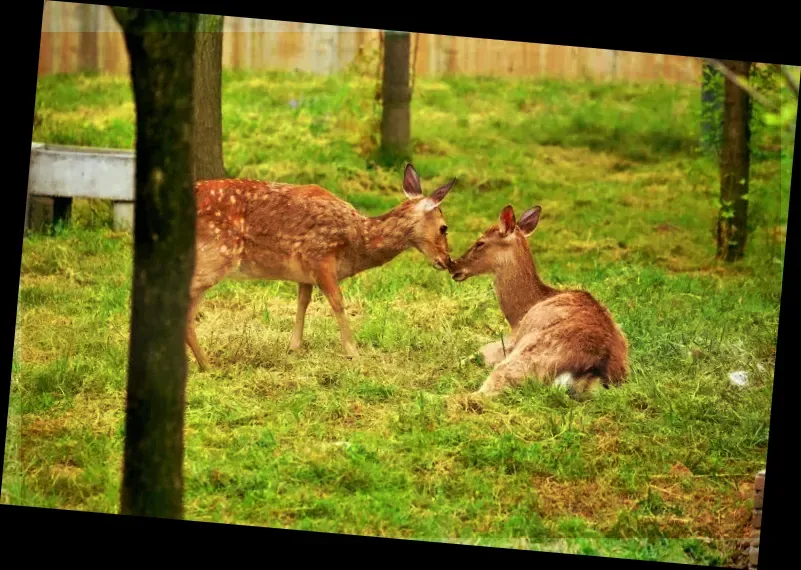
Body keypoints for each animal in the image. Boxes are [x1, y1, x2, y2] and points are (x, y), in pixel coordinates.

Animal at [184, 163, 454, 368]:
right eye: (444, 228)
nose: (447, 261)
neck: (358, 239)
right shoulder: (320, 256)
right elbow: (338, 303)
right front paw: (354, 353)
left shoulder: (304, 272)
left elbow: (302, 302)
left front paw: (293, 348)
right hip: (214, 258)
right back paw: (207, 366)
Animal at [450, 203, 624, 394]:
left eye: (480, 242)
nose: (453, 266)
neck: (518, 315)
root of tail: (594, 371)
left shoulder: (509, 342)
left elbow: (478, 352)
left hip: (525, 357)